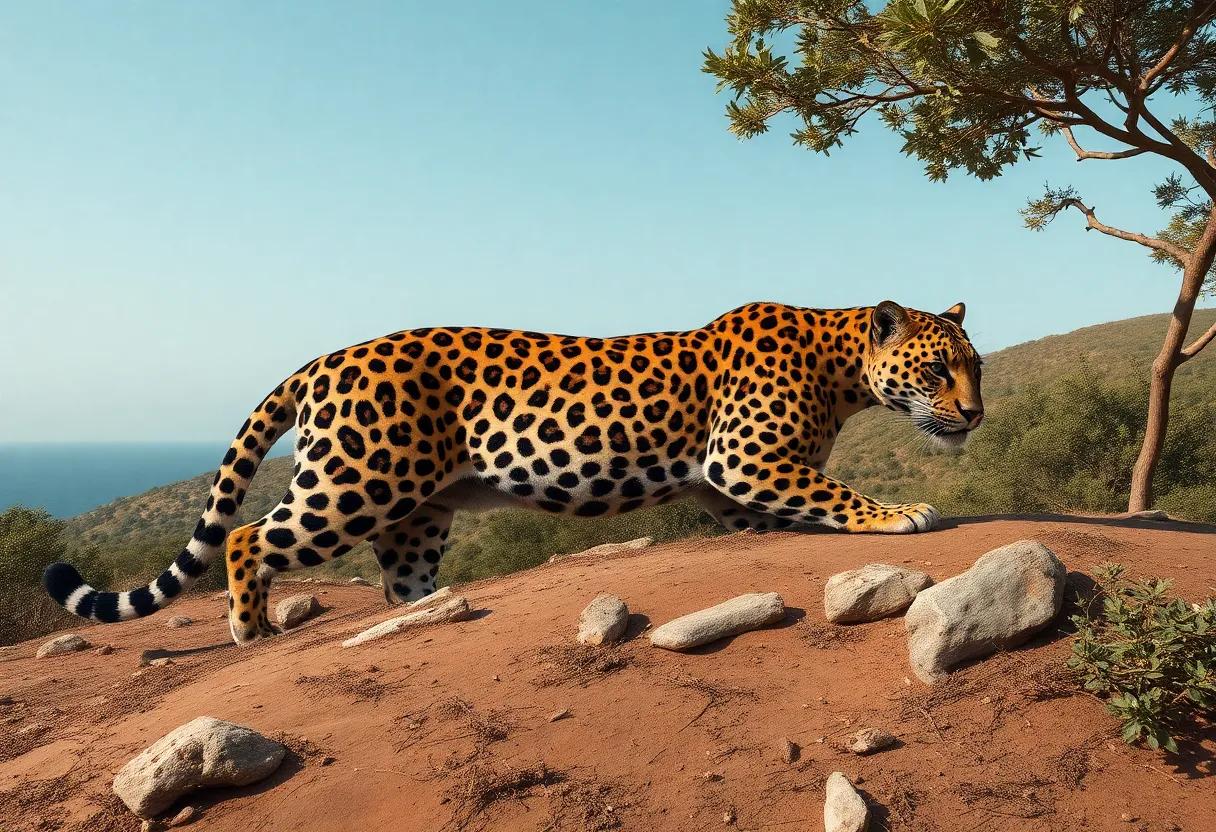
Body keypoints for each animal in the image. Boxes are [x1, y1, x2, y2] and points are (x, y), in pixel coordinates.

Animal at [44, 299, 983, 645]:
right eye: (941, 370)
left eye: (978, 367)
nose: (975, 414)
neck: (840, 361)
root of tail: (323, 358)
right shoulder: (745, 460)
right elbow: (836, 493)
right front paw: (902, 511)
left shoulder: (729, 487)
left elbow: (792, 505)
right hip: (356, 480)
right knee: (245, 536)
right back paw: (249, 628)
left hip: (415, 511)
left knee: (398, 579)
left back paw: (430, 607)